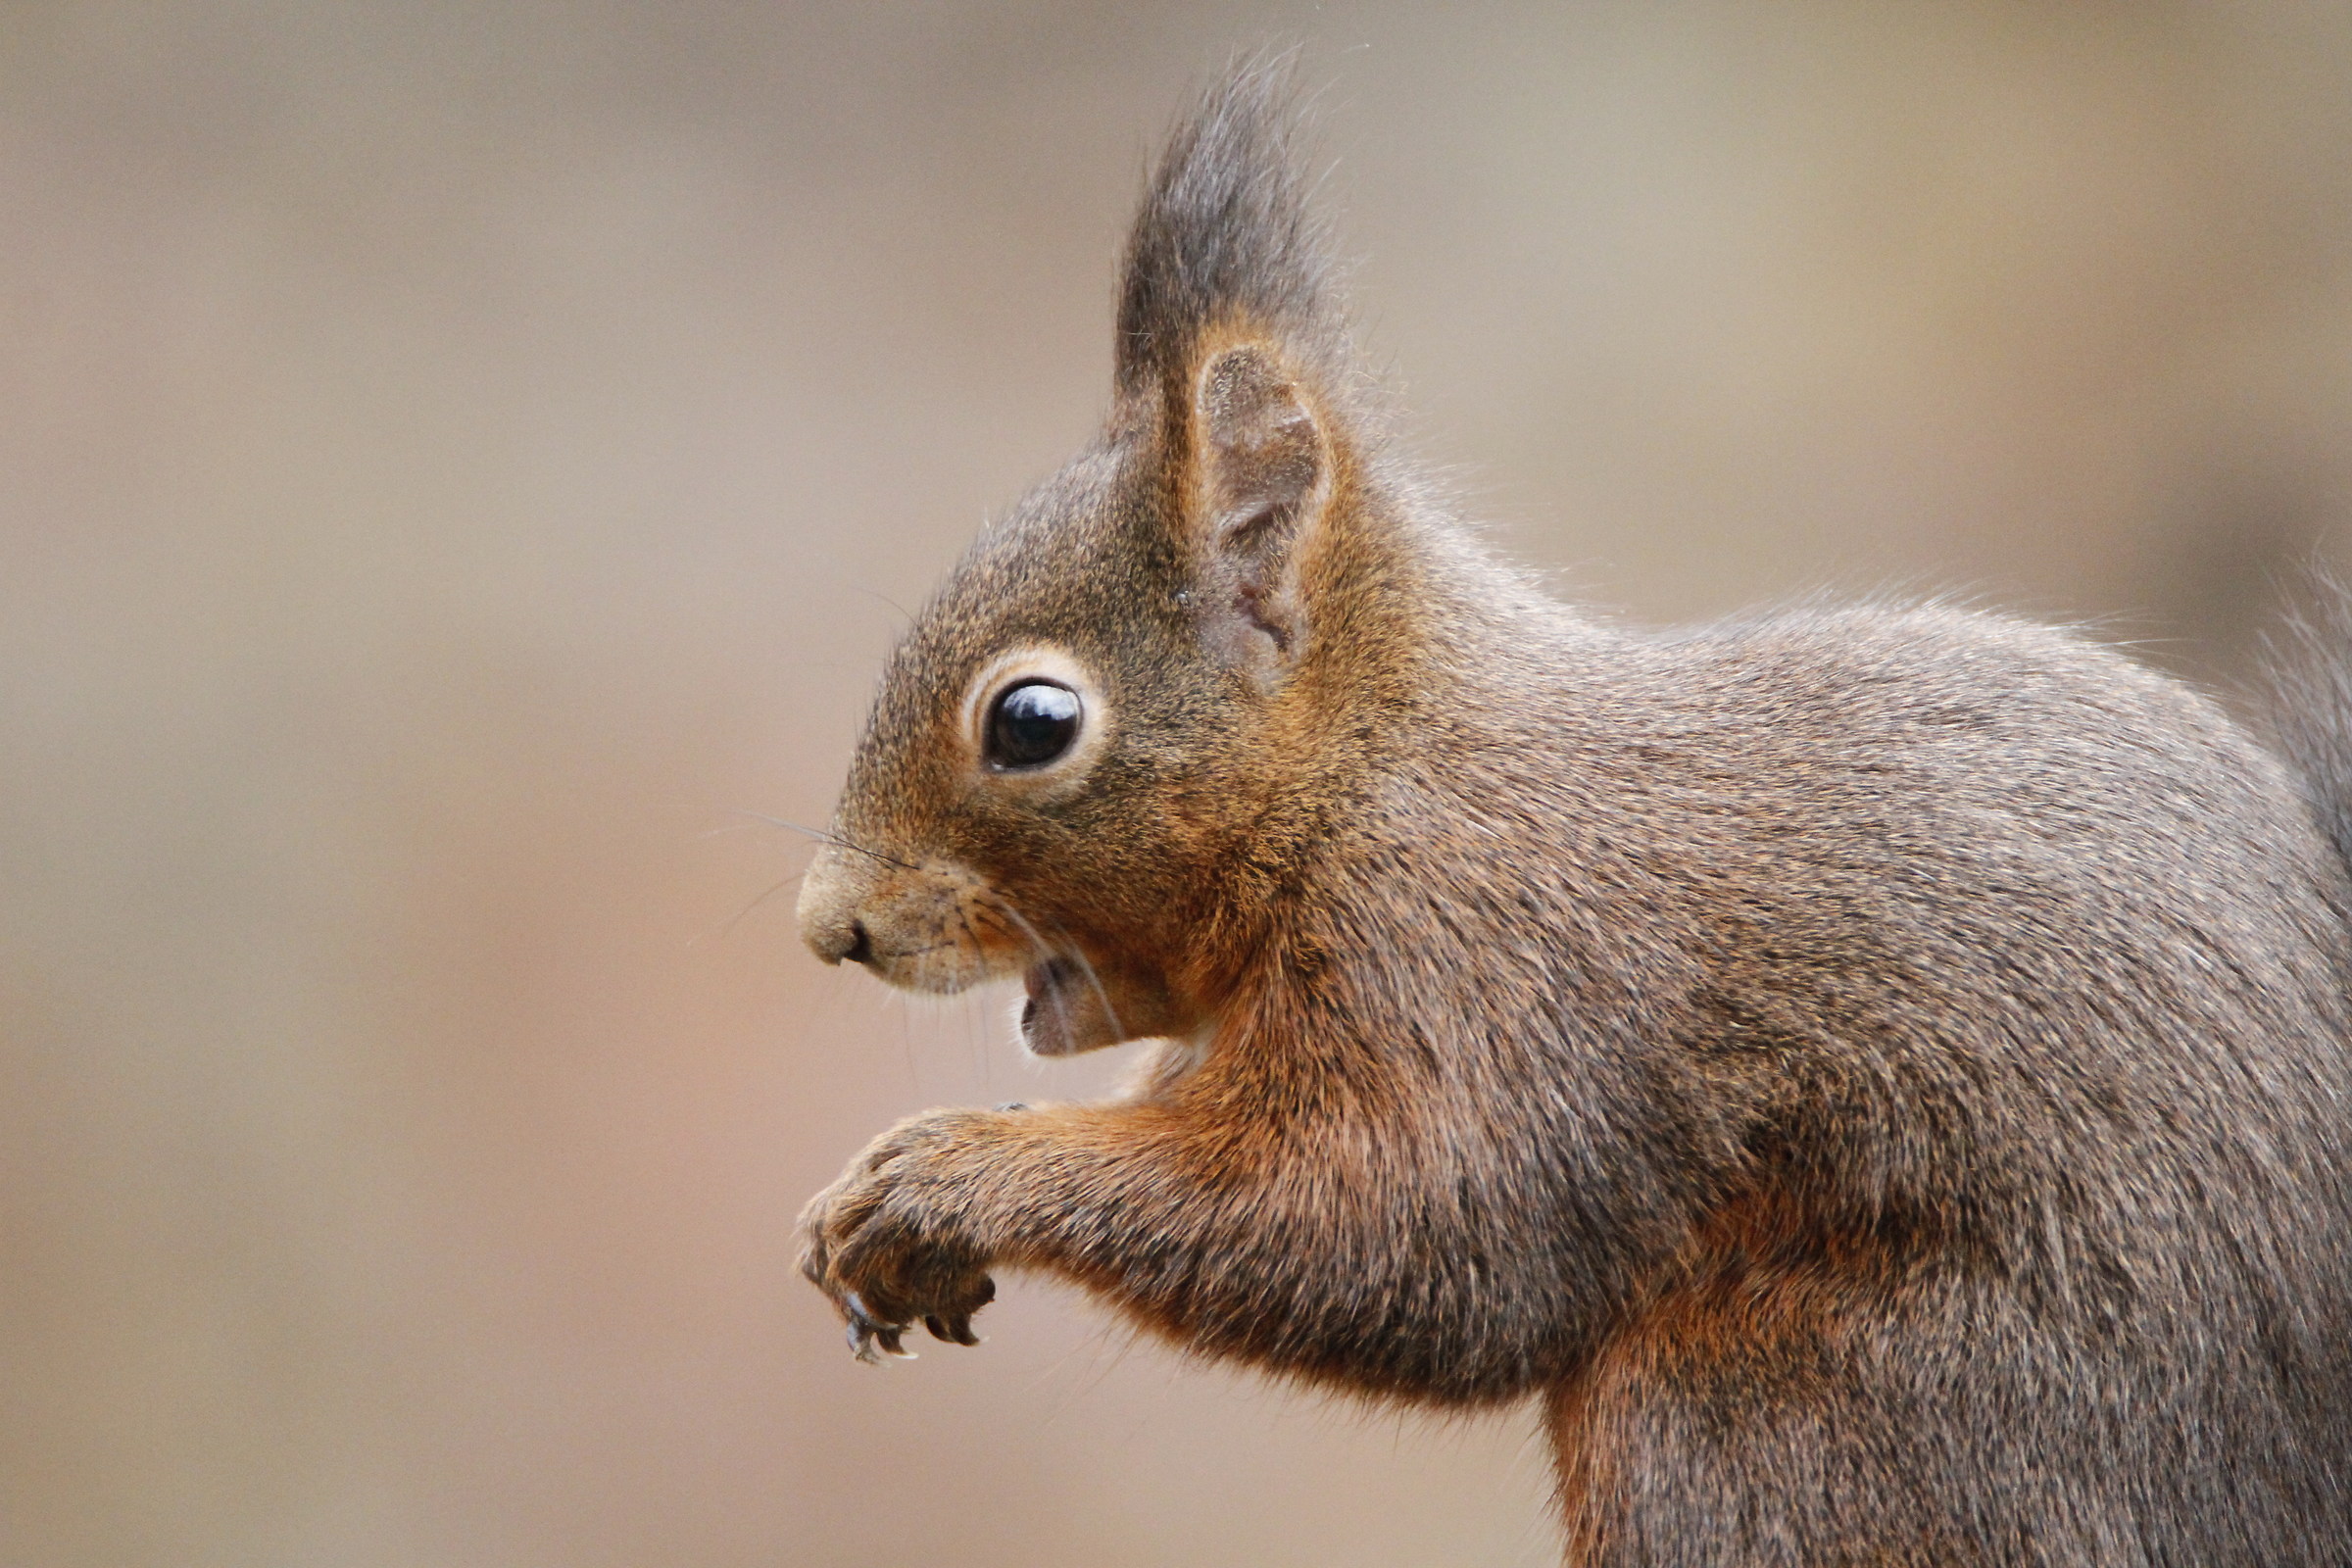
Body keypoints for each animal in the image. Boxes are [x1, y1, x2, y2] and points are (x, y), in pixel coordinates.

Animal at [794, 64, 2352, 1565]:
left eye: (1030, 723)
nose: (830, 928)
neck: (1369, 777)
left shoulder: (1484, 981)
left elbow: (1399, 1239)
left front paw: (950, 1172)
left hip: (1775, 1418)